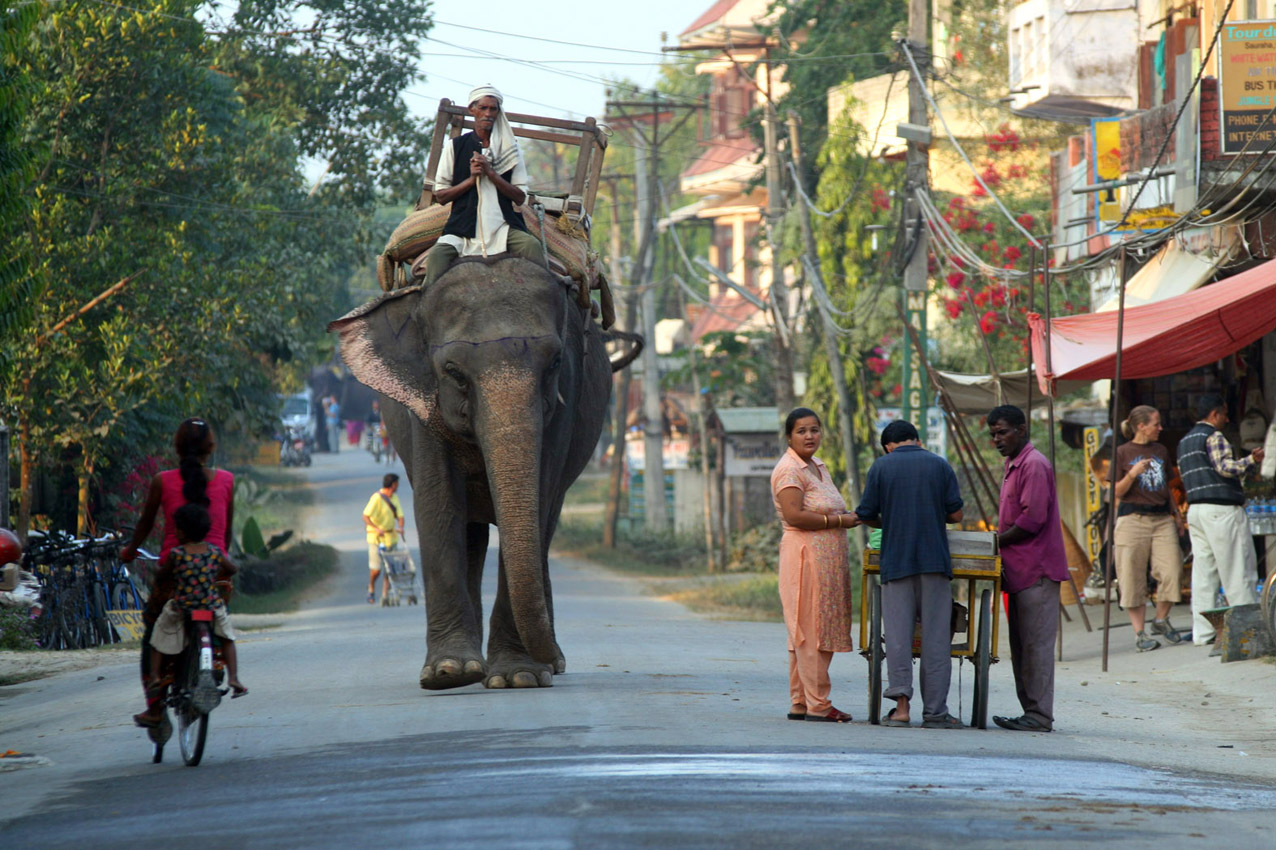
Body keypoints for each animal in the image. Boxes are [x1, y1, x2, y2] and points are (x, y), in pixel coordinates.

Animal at [326, 257, 638, 689]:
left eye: (555, 363)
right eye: (454, 371)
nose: (550, 659)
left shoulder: (566, 402)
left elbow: (539, 498)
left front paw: (520, 675)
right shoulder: (422, 404)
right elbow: (437, 504)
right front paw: (446, 673)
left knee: (543, 525)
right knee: (472, 534)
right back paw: (476, 667)